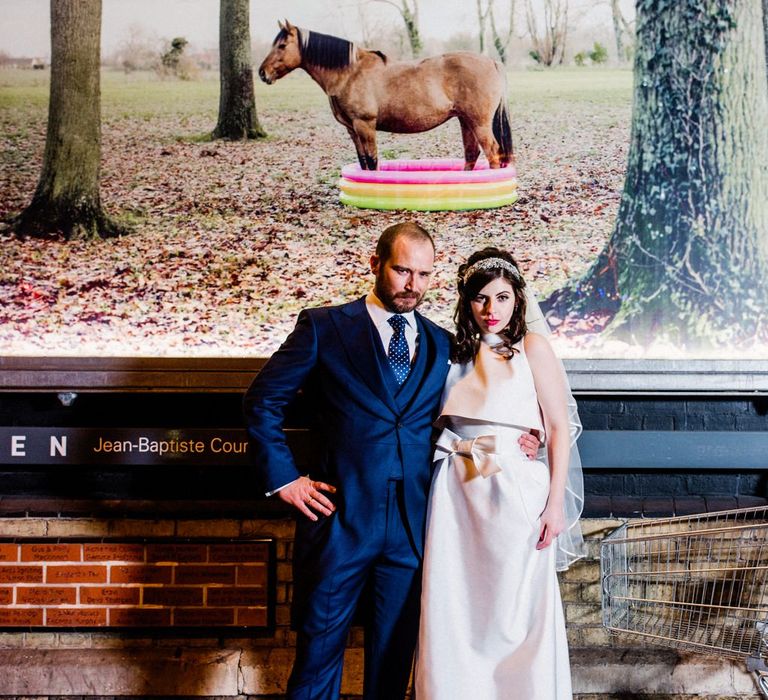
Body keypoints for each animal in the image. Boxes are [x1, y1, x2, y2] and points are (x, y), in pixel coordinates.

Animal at [255, 21, 512, 170]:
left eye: (282, 45)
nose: (262, 73)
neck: (350, 73)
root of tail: (491, 61)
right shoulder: (352, 129)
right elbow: (363, 162)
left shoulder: (365, 125)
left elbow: (373, 160)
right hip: (465, 120)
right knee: (472, 153)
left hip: (479, 123)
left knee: (492, 153)